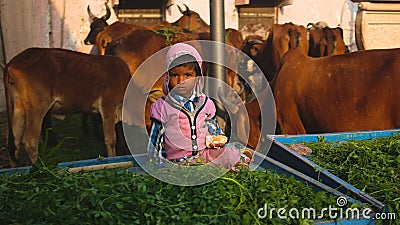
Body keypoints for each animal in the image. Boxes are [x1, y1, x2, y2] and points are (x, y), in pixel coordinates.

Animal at [3, 48, 131, 167]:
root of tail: (15, 60)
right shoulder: (108, 107)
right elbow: (111, 140)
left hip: (19, 107)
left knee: (15, 141)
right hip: (37, 108)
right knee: (30, 141)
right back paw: (41, 169)